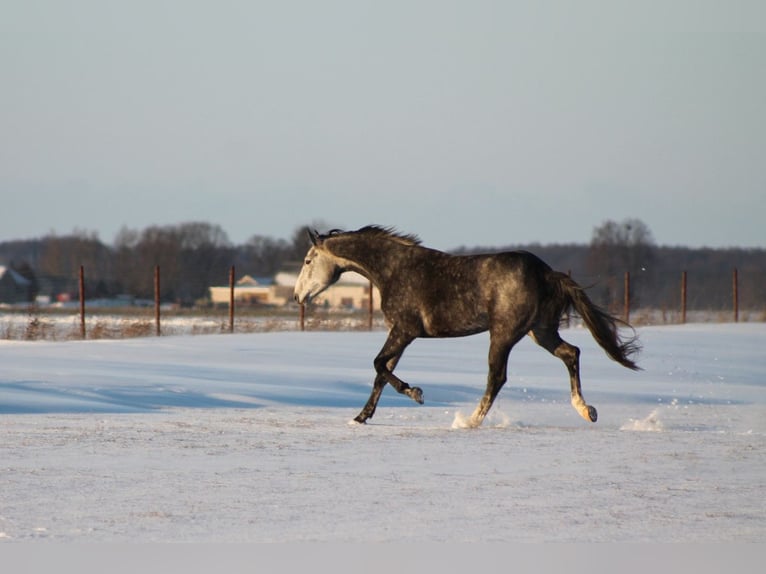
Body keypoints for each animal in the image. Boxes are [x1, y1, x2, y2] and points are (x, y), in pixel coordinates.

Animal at [293, 225, 640, 427]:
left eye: (309, 261)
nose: (298, 296)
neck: (394, 270)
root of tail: (547, 273)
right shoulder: (400, 334)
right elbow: (380, 373)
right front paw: (361, 417)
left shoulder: (405, 331)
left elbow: (379, 364)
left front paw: (416, 393)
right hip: (540, 331)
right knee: (571, 353)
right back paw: (587, 410)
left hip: (504, 334)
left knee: (497, 377)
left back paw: (470, 421)